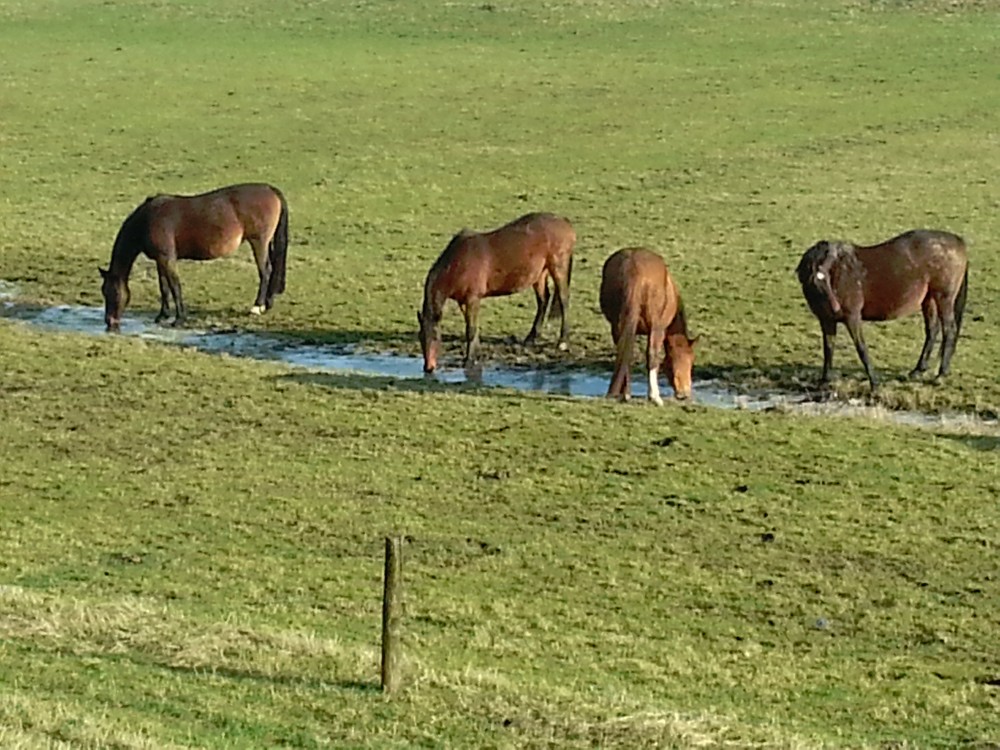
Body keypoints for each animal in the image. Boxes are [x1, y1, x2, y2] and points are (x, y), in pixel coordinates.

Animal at [100, 182, 290, 332]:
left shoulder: (167, 258)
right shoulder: (160, 260)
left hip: (259, 242)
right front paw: (162, 315)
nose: (109, 322)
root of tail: (270, 189)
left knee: (265, 272)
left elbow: (175, 287)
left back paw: (257, 307)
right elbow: (164, 287)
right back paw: (267, 304)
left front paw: (179, 319)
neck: (148, 219)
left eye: (112, 292)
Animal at [418, 212, 576, 374]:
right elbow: (472, 328)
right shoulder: (463, 301)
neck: (458, 263)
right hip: (539, 274)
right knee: (543, 301)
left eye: (435, 337)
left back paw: (563, 342)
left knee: (563, 300)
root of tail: (564, 222)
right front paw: (477, 354)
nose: (428, 368)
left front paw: (469, 360)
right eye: (421, 337)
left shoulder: (473, 298)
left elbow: (471, 330)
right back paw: (531, 338)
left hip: (558, 268)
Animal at [600, 248, 696, 406]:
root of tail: (634, 270)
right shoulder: (659, 331)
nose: (685, 394)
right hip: (655, 328)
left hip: (617, 326)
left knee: (624, 353)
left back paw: (625, 394)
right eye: (690, 360)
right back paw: (655, 397)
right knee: (650, 356)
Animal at [796, 229, 968, 390]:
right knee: (932, 331)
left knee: (949, 331)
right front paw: (824, 382)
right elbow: (828, 349)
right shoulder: (826, 320)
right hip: (929, 299)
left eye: (826, 276)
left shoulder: (852, 317)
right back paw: (918, 370)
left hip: (943, 298)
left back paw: (941, 374)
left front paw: (874, 383)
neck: (840, 272)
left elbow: (861, 348)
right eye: (812, 282)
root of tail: (958, 241)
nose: (835, 307)